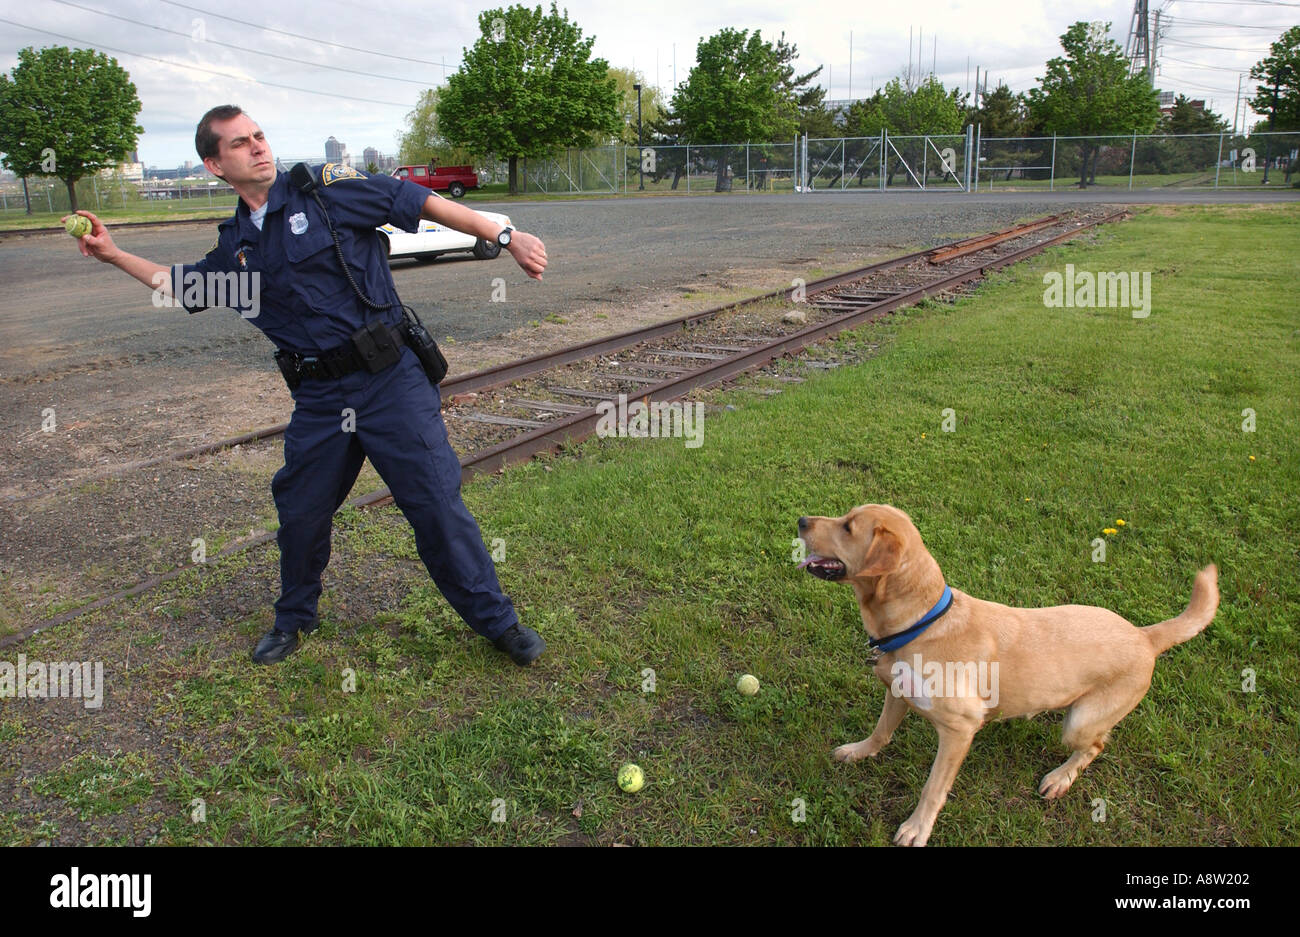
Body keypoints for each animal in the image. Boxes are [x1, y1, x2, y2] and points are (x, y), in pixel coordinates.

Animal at [790, 504, 1216, 847]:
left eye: (848, 527)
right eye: (845, 516)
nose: (801, 520)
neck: (921, 622)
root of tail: (1145, 635)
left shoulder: (960, 729)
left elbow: (933, 788)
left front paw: (917, 828)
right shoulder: (897, 693)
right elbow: (880, 732)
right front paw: (858, 752)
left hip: (1080, 722)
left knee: (1094, 746)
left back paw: (1060, 778)